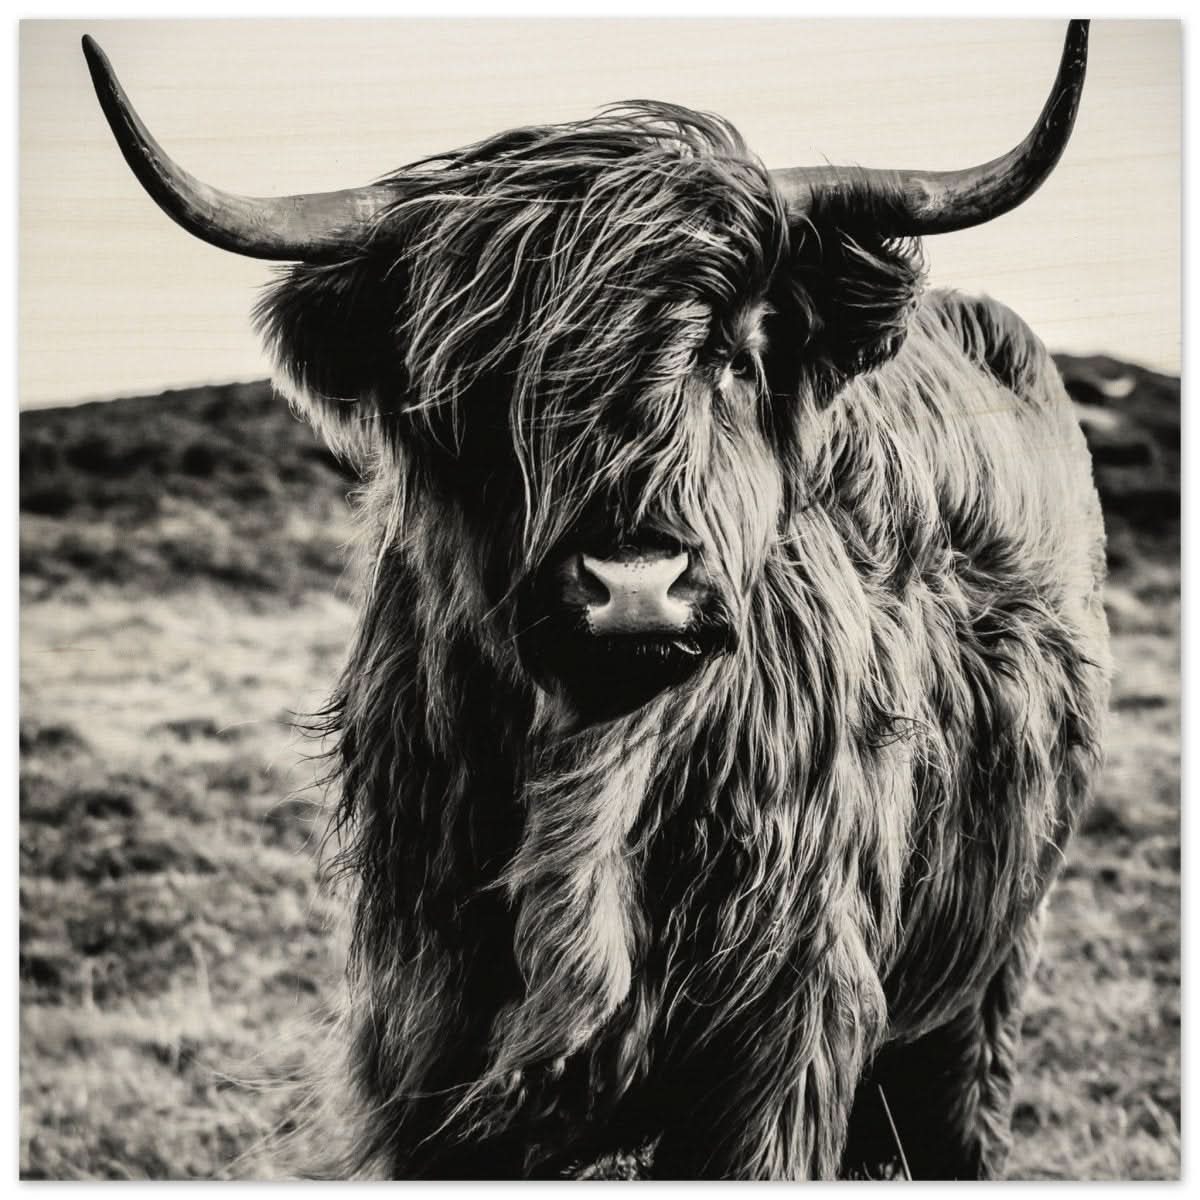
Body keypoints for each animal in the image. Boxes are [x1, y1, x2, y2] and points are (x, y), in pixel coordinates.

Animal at [83, 21, 1109, 1180]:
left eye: (733, 354)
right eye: (481, 384)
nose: (635, 587)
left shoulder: (782, 1041)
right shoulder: (429, 1043)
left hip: (989, 973)